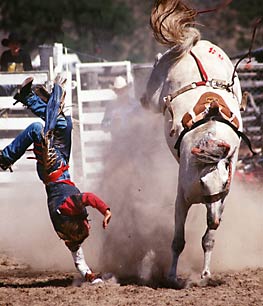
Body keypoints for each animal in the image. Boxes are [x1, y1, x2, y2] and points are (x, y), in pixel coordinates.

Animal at [142, 0, 252, 282]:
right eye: (203, 184)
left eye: (223, 183)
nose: (214, 220)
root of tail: (197, 45)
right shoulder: (181, 200)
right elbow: (178, 241)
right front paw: (171, 275)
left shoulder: (222, 199)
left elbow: (208, 239)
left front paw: (205, 273)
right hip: (154, 95)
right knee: (150, 93)